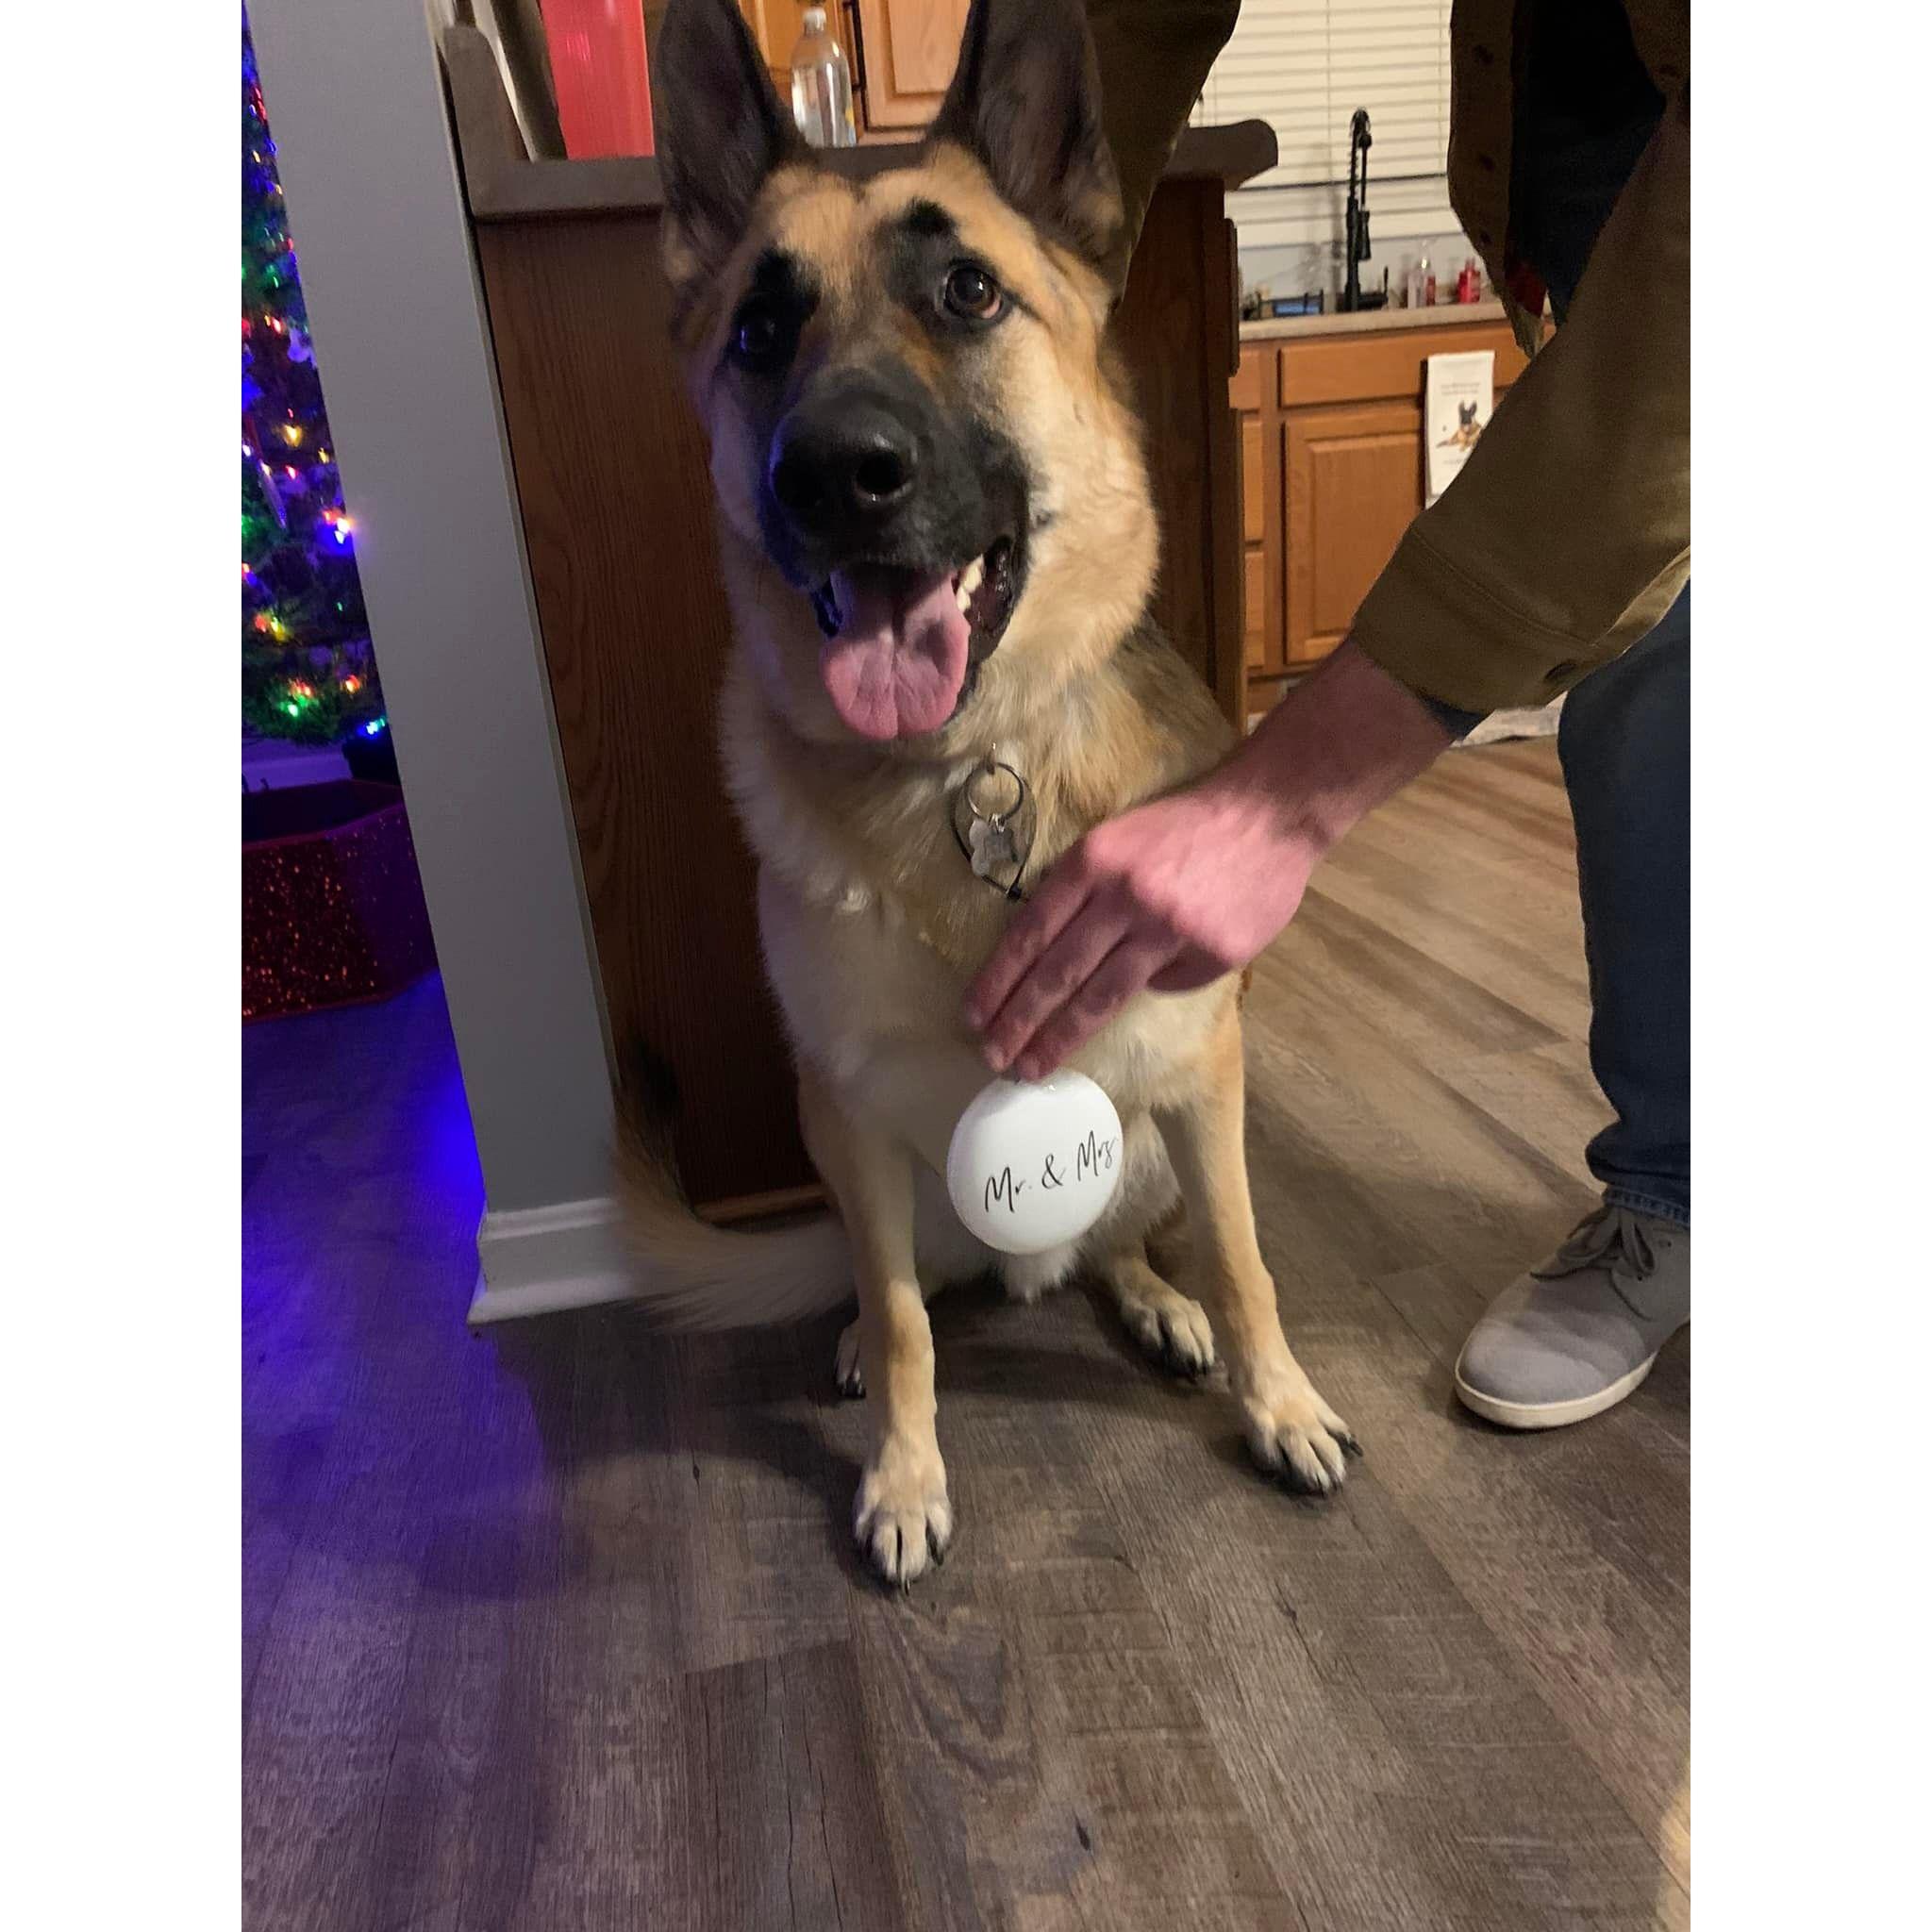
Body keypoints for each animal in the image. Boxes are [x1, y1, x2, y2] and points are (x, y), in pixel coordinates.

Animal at [625, 0, 1357, 1586]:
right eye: (760, 330)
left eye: (969, 292)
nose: (837, 473)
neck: (971, 768)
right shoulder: (849, 1115)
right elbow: (907, 1324)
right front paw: (905, 1475)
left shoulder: (1204, 1076)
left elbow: (1249, 1259)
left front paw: (1276, 1400)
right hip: (867, 1169)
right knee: (897, 1283)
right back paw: (866, 1333)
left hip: (1147, 1144)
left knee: (1129, 1245)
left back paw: (1154, 1303)